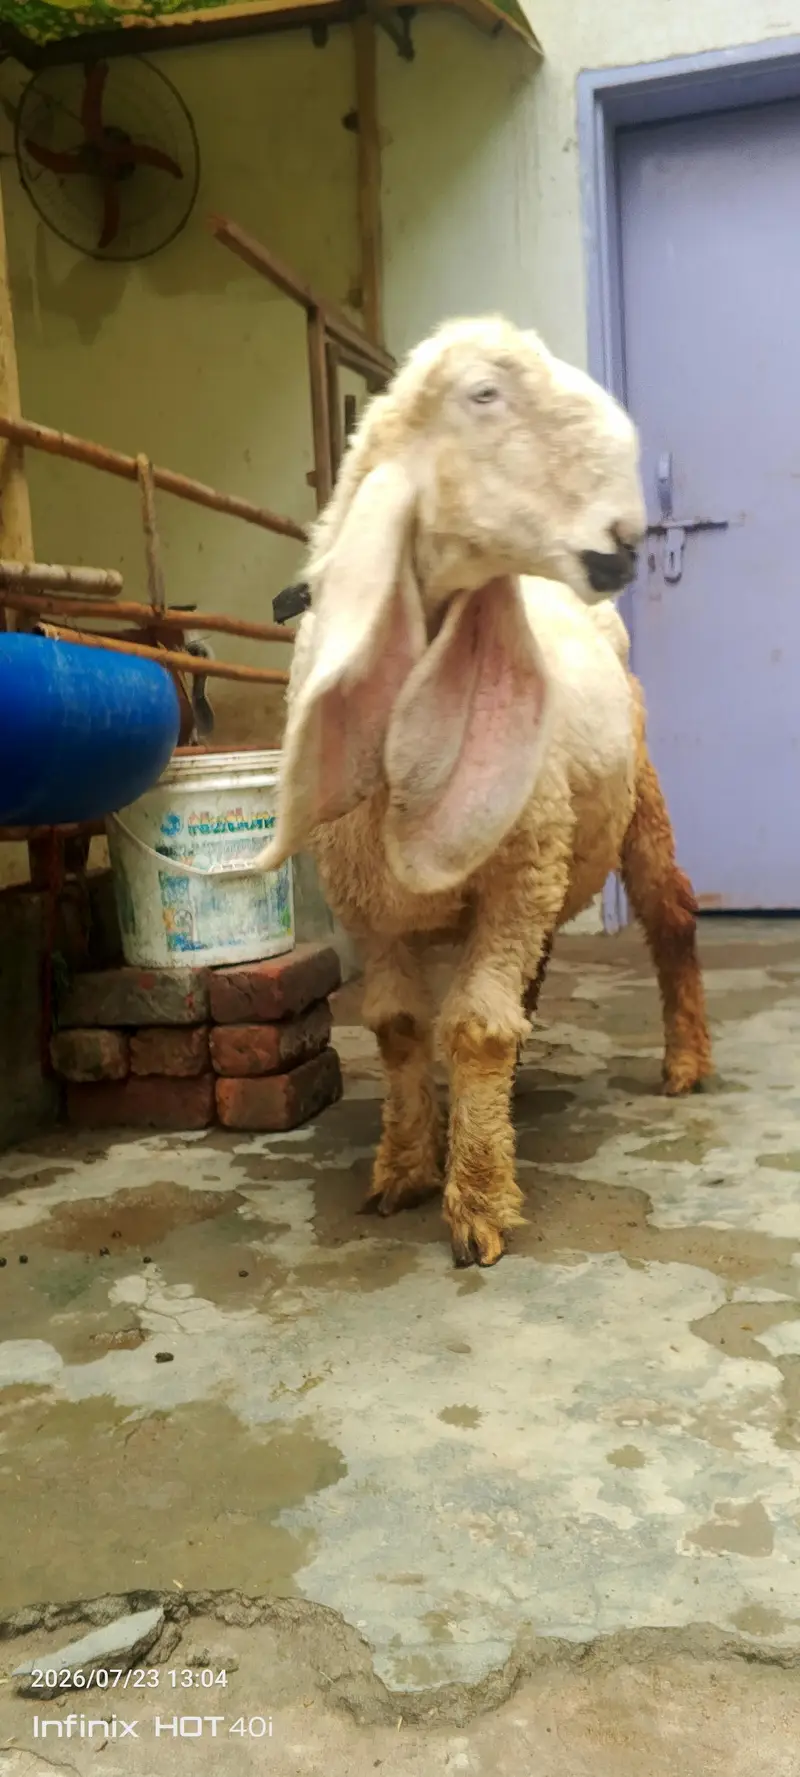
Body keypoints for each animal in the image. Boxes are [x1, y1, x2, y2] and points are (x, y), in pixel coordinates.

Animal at [257, 317, 711, 1266]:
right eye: (484, 395)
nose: (627, 532)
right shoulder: (367, 903)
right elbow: (398, 1025)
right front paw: (403, 1167)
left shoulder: (516, 877)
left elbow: (472, 1025)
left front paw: (477, 1197)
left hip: (636, 804)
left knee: (671, 912)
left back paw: (686, 1060)